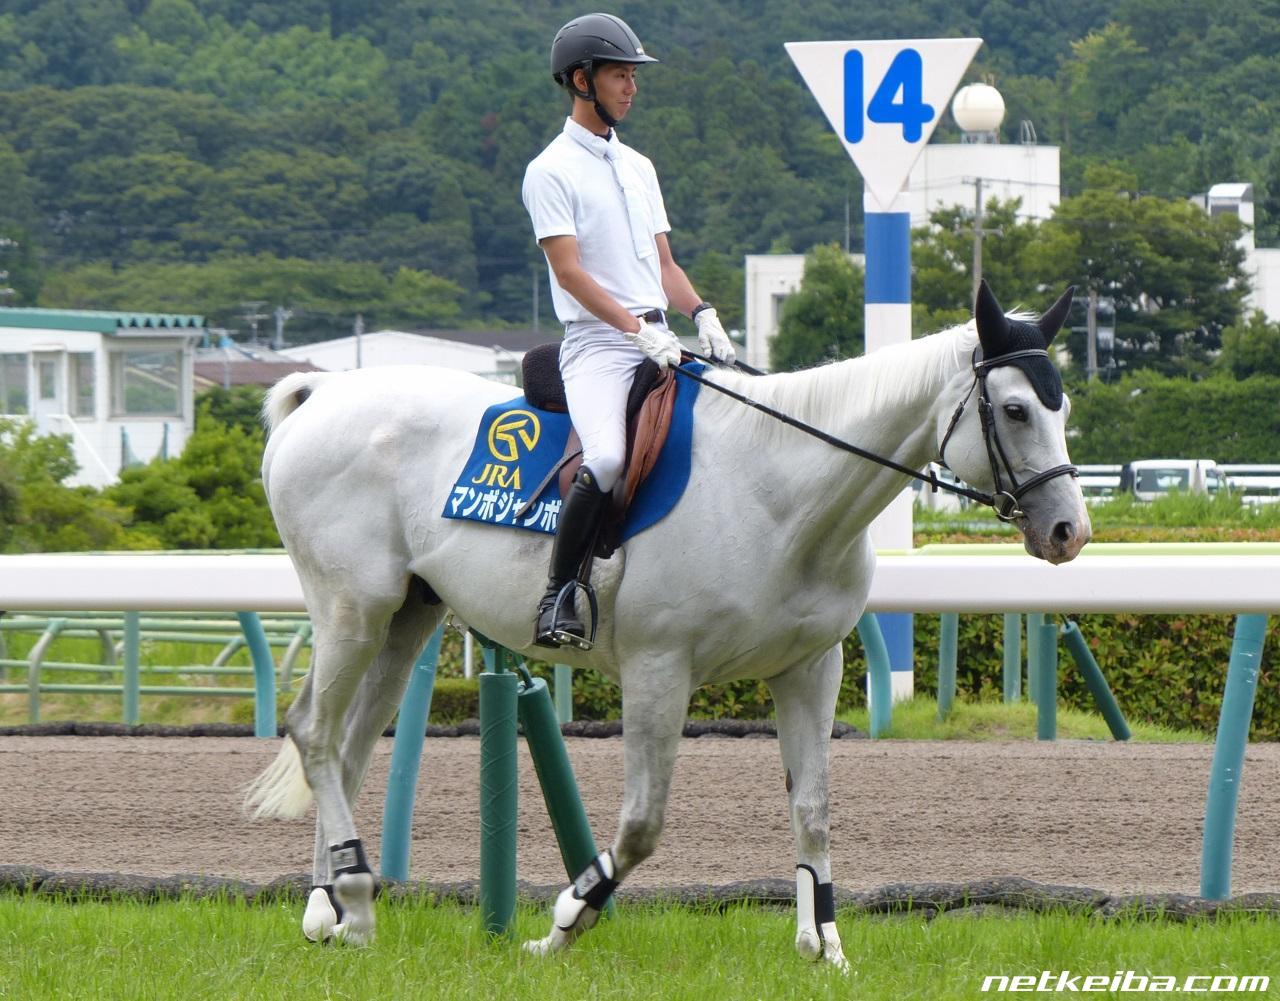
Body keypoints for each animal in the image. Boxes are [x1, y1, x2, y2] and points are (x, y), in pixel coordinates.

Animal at [247, 284, 1090, 972]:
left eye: (1063, 410)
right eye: (1015, 409)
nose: (1069, 532)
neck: (782, 486)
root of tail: (322, 394)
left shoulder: (810, 668)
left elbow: (812, 808)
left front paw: (825, 943)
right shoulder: (660, 670)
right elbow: (642, 825)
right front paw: (563, 920)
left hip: (405, 617)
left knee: (346, 745)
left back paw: (331, 908)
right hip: (352, 610)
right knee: (314, 729)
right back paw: (355, 896)